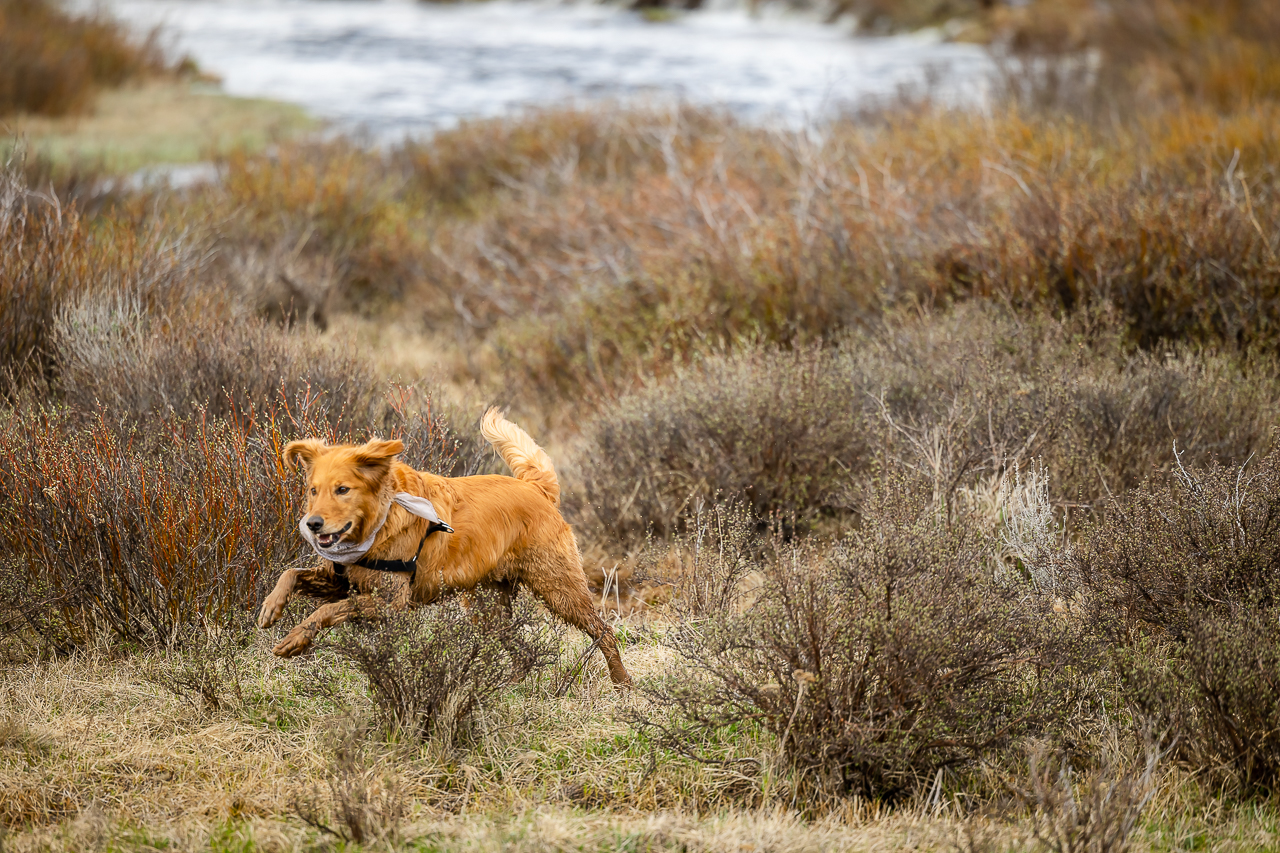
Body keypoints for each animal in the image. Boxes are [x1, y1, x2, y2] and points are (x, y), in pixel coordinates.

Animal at [257, 404, 632, 686]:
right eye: (313, 490)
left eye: (343, 490)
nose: (312, 524)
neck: (379, 520)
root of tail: (535, 488)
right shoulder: (337, 580)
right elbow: (291, 574)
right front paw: (270, 609)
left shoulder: (390, 603)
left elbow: (326, 610)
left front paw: (294, 639)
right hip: (487, 608)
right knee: (523, 652)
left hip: (559, 588)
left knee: (604, 632)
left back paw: (622, 683)